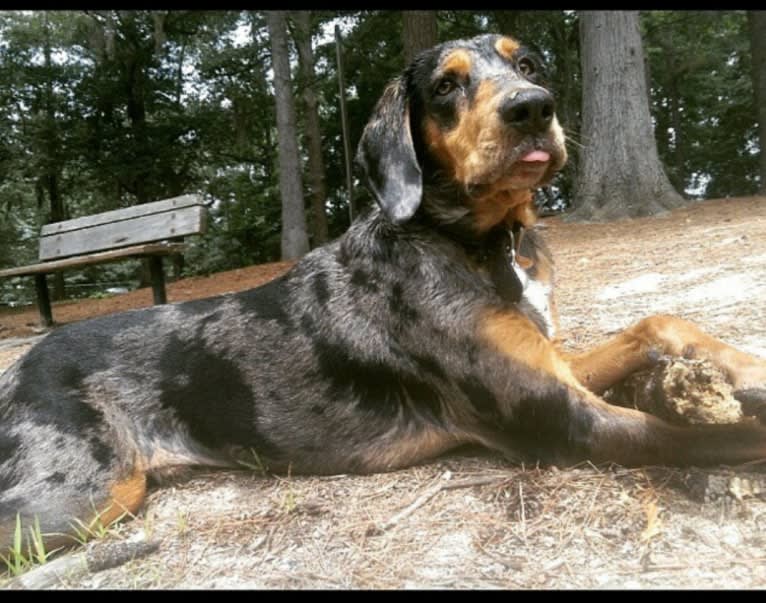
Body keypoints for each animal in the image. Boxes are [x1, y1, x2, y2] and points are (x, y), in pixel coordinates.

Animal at [1, 33, 766, 552]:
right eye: (447, 87)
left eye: (527, 66)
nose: (534, 108)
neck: (478, 241)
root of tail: (20, 365)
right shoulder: (561, 417)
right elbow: (715, 437)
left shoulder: (553, 365)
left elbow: (658, 320)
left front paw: (748, 367)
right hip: (81, 497)